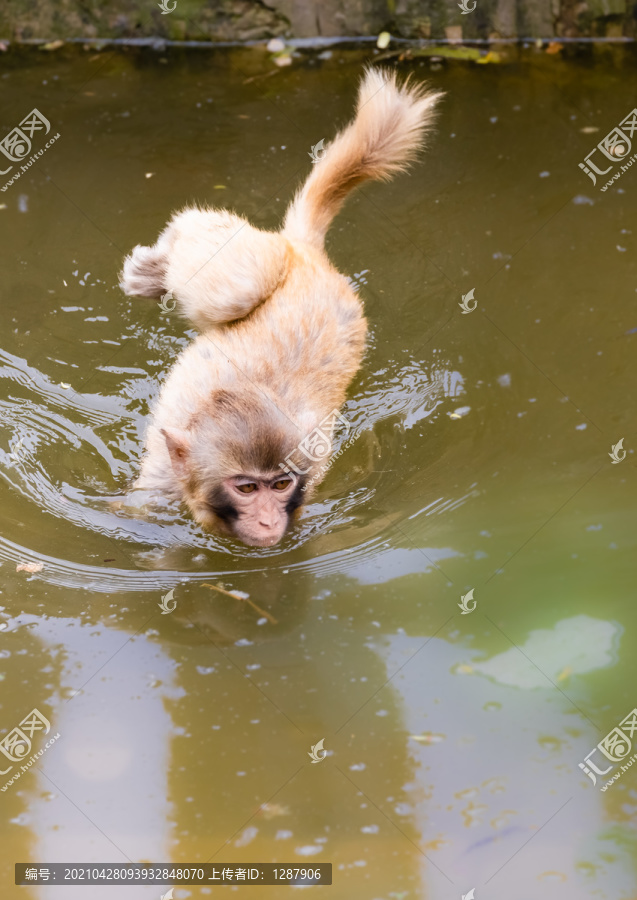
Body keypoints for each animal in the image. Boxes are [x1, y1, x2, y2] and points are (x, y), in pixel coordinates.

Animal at [119, 67, 440, 544]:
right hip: (258, 264)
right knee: (234, 279)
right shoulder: (161, 481)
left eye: (281, 484)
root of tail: (307, 252)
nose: (270, 521)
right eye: (247, 488)